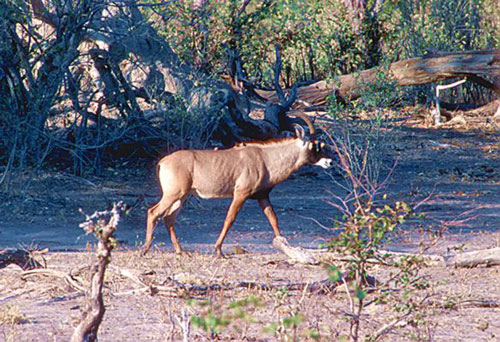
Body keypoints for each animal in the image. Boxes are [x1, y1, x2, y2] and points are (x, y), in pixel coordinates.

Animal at [143, 113, 334, 256]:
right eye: (314, 145)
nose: (330, 162)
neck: (266, 158)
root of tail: (163, 162)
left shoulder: (262, 196)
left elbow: (273, 219)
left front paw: (285, 246)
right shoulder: (241, 193)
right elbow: (230, 219)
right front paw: (218, 250)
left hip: (182, 196)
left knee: (169, 217)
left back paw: (180, 251)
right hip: (173, 194)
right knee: (153, 212)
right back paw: (145, 250)